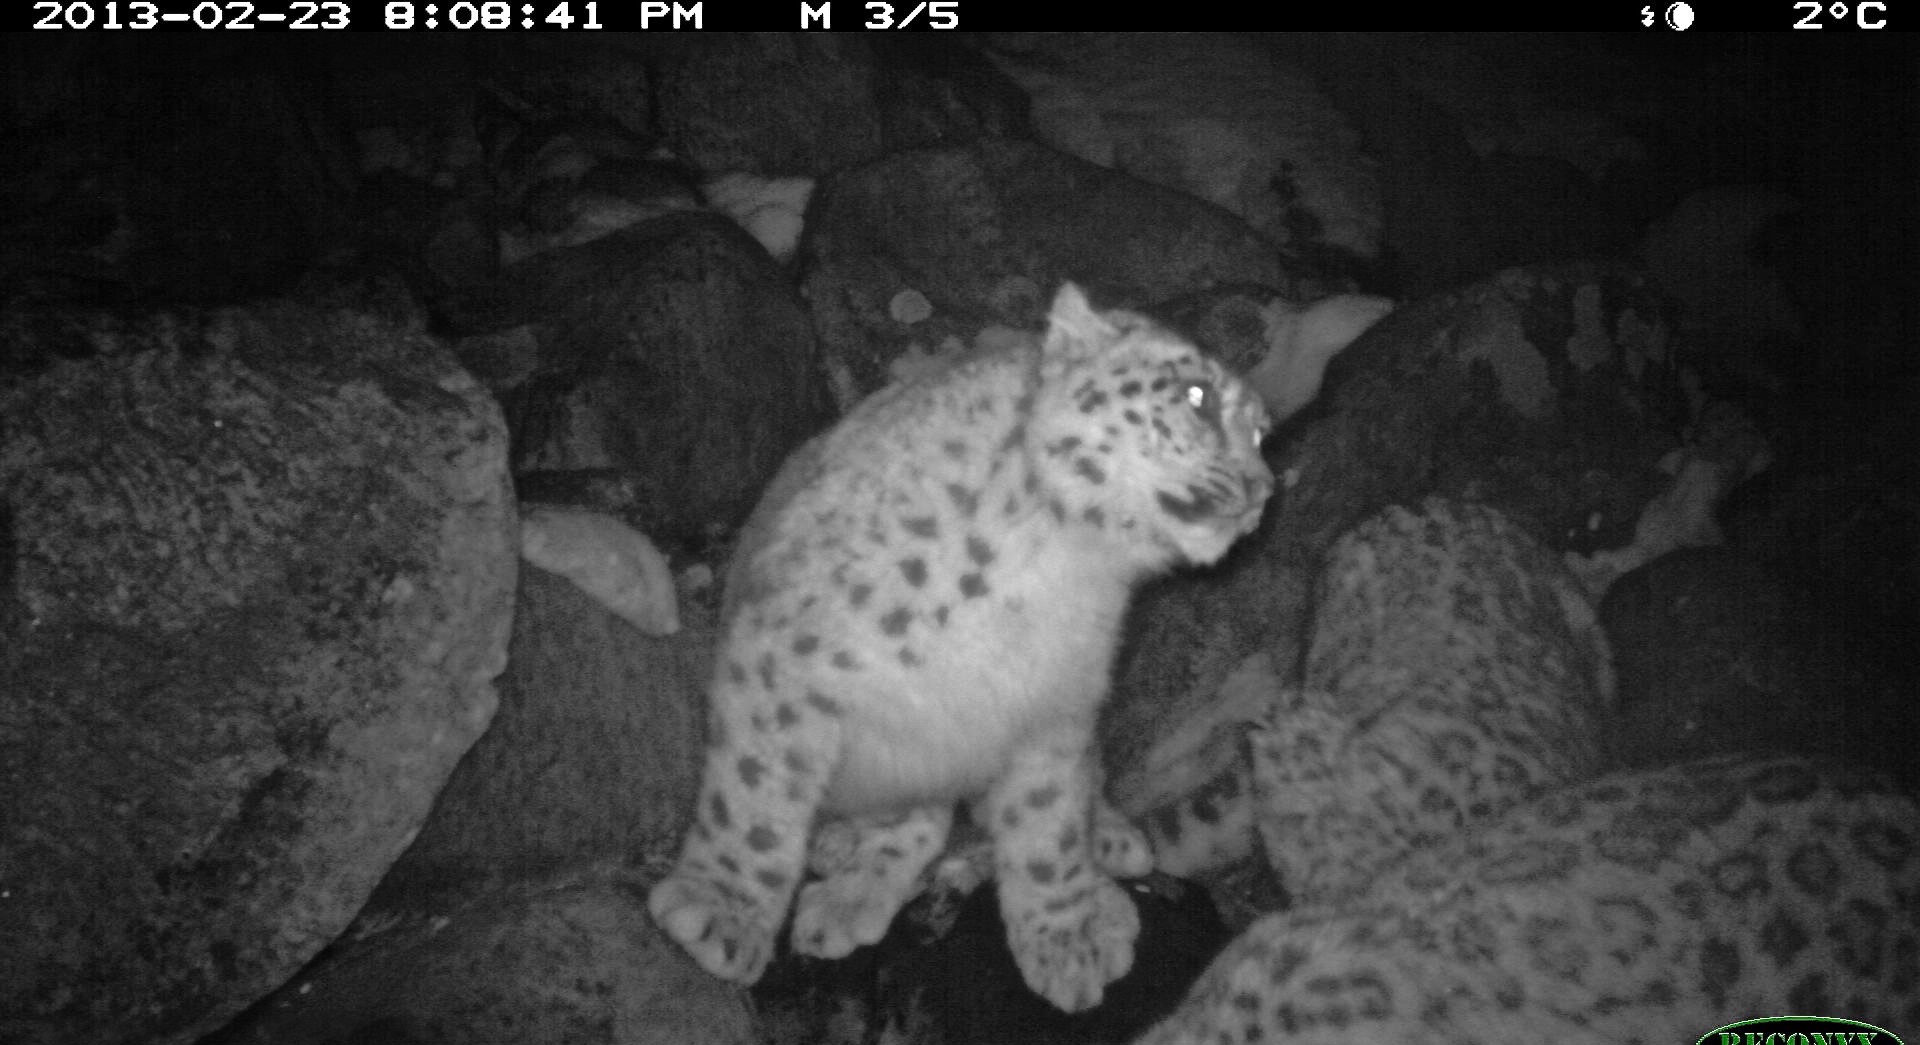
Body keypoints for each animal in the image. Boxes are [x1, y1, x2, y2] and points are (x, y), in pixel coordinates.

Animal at [647, 282, 1275, 1012]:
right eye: (1198, 396)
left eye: (1263, 433)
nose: (1265, 489)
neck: (1056, 562)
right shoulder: (784, 657)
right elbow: (755, 793)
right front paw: (720, 911)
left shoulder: (1053, 708)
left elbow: (1049, 825)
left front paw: (1071, 934)